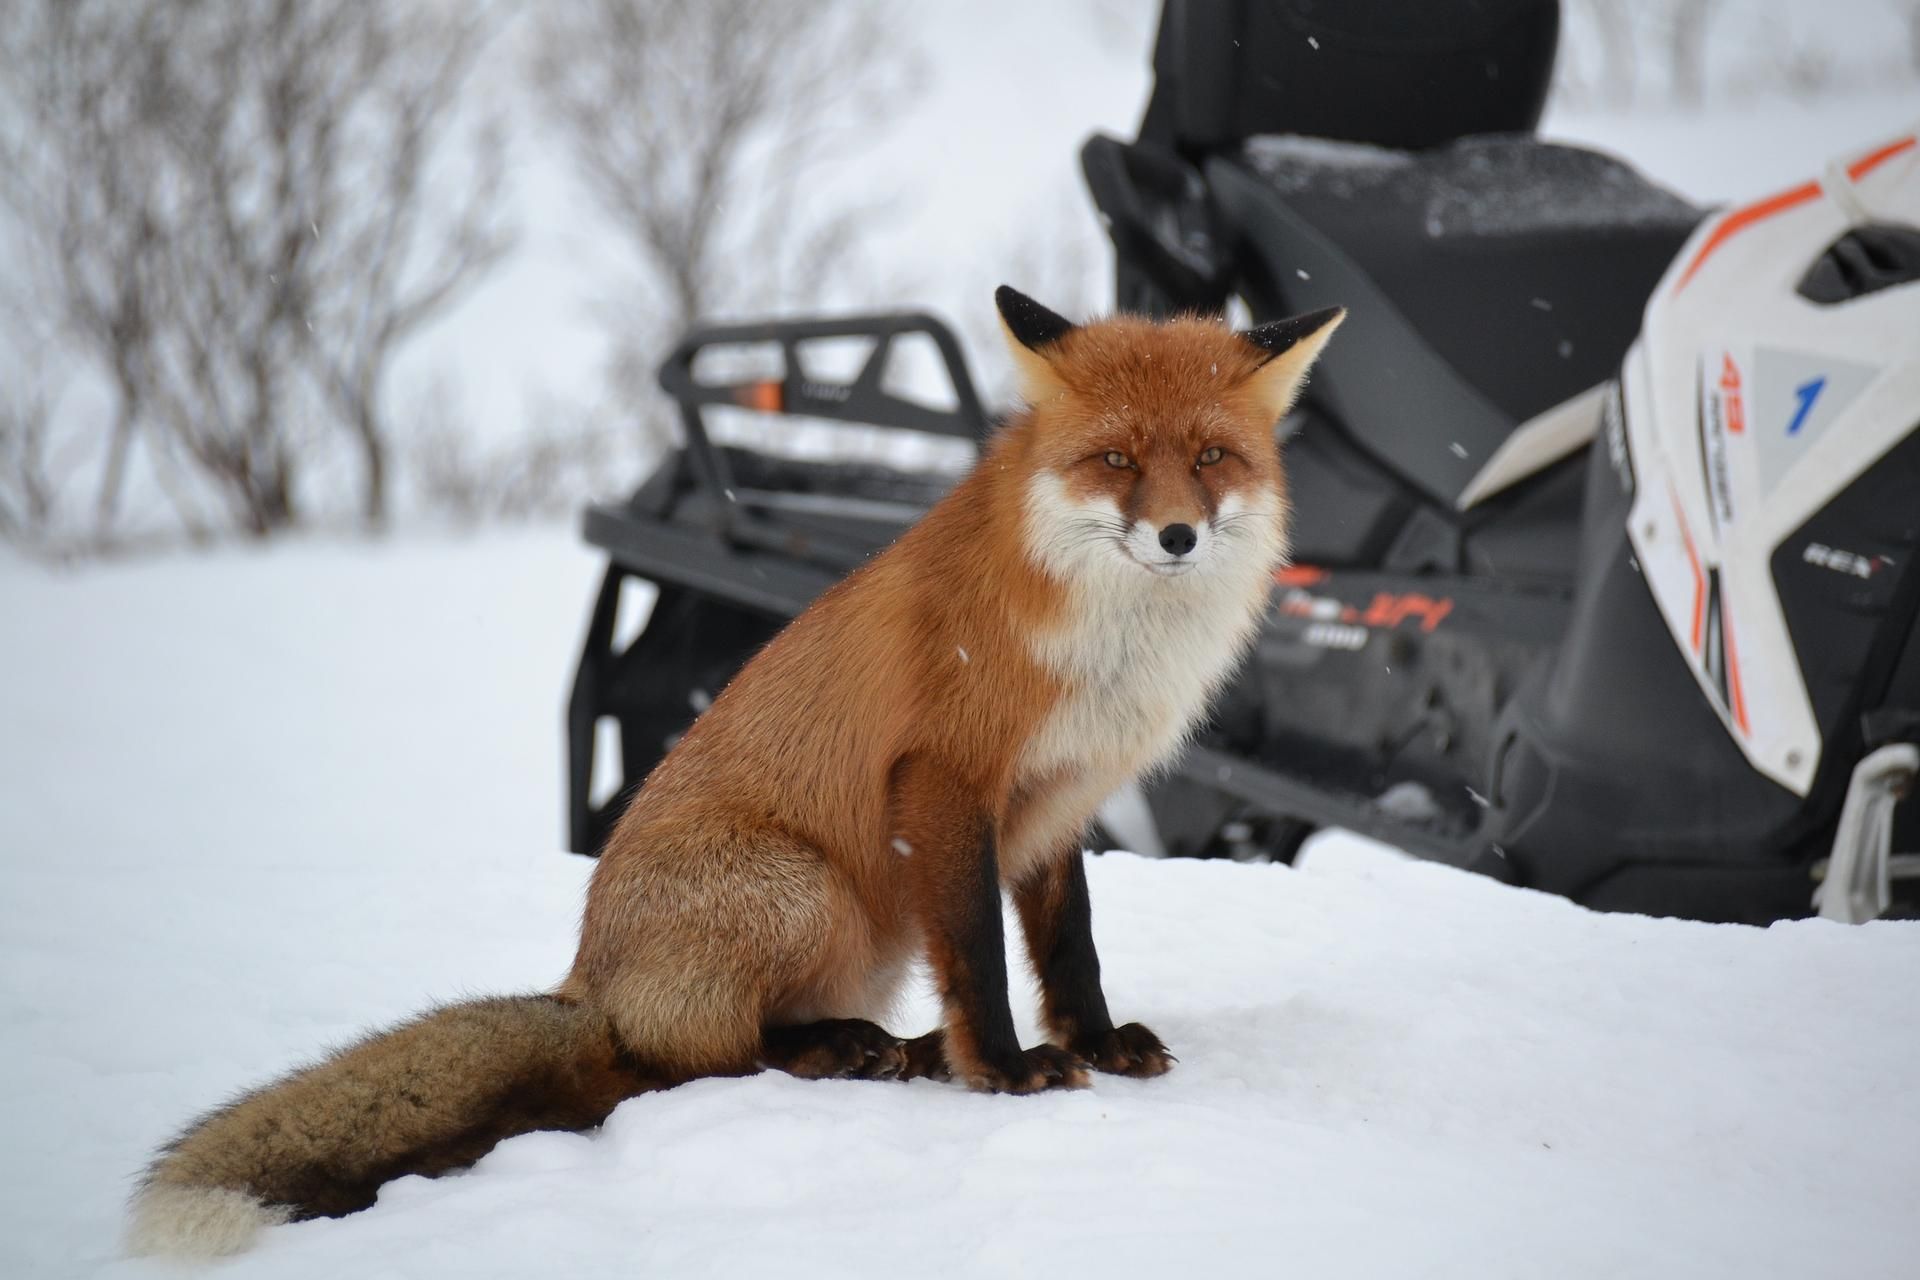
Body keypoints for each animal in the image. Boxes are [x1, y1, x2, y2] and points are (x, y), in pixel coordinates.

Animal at [127, 289, 1344, 1258]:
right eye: (1118, 461)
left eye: (1212, 459)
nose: (1180, 535)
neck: (1107, 646)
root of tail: (589, 983)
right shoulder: (946, 781)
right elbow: (982, 957)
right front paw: (1003, 1072)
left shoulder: (1058, 801)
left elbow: (1069, 946)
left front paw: (1094, 1042)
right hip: (809, 891)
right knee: (693, 1063)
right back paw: (853, 1052)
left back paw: (889, 1047)